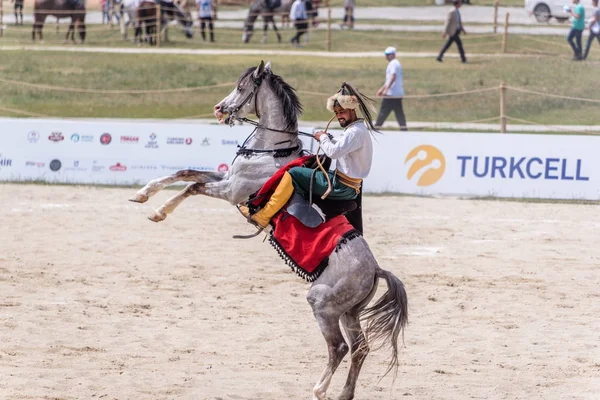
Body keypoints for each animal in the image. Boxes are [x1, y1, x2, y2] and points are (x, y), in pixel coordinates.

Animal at [128, 60, 406, 400]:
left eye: (242, 88)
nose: (219, 109)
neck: (271, 152)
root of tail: (375, 269)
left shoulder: (232, 190)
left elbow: (192, 184)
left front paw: (157, 207)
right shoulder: (227, 180)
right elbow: (187, 174)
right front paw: (147, 200)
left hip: (323, 305)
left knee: (339, 347)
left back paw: (320, 389)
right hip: (350, 312)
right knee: (359, 348)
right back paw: (344, 393)